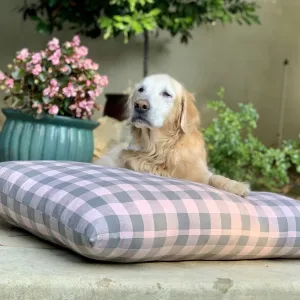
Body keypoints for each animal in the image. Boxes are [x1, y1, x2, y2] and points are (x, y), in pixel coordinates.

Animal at [95, 73, 250, 197]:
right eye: (141, 89)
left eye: (166, 94)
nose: (140, 105)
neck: (160, 149)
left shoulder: (200, 173)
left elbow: (215, 177)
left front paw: (236, 186)